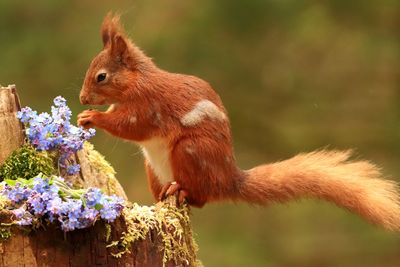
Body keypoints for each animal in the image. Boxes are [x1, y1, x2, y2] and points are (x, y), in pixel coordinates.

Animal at [77, 13, 400, 230]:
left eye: (101, 76)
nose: (81, 99)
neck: (136, 81)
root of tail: (228, 180)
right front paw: (84, 116)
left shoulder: (149, 106)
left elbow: (131, 126)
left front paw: (94, 117)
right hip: (154, 169)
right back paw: (160, 199)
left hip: (190, 151)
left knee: (200, 197)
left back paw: (181, 191)